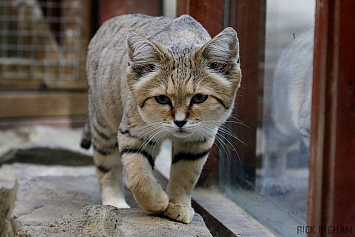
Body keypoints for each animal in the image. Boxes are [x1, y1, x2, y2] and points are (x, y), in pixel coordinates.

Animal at [80, 13, 242, 223]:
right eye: (162, 99)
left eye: (199, 98)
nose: (180, 122)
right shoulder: (133, 133)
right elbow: (139, 176)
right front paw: (158, 202)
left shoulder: (198, 140)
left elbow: (185, 176)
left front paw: (178, 205)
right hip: (103, 125)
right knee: (106, 167)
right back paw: (114, 202)